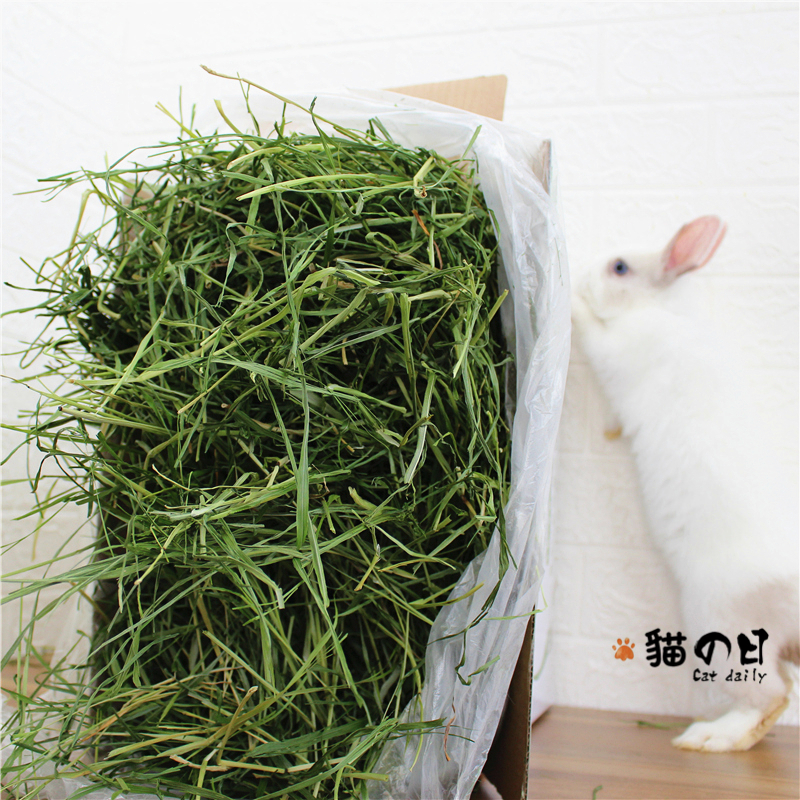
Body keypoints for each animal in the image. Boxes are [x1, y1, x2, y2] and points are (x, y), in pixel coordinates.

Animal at [571, 215, 799, 752]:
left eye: (619, 267)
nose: (583, 274)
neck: (662, 309)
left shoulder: (618, 349)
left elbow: (591, 331)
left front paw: (571, 299)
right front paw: (610, 432)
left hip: (722, 625)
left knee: (770, 696)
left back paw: (705, 739)